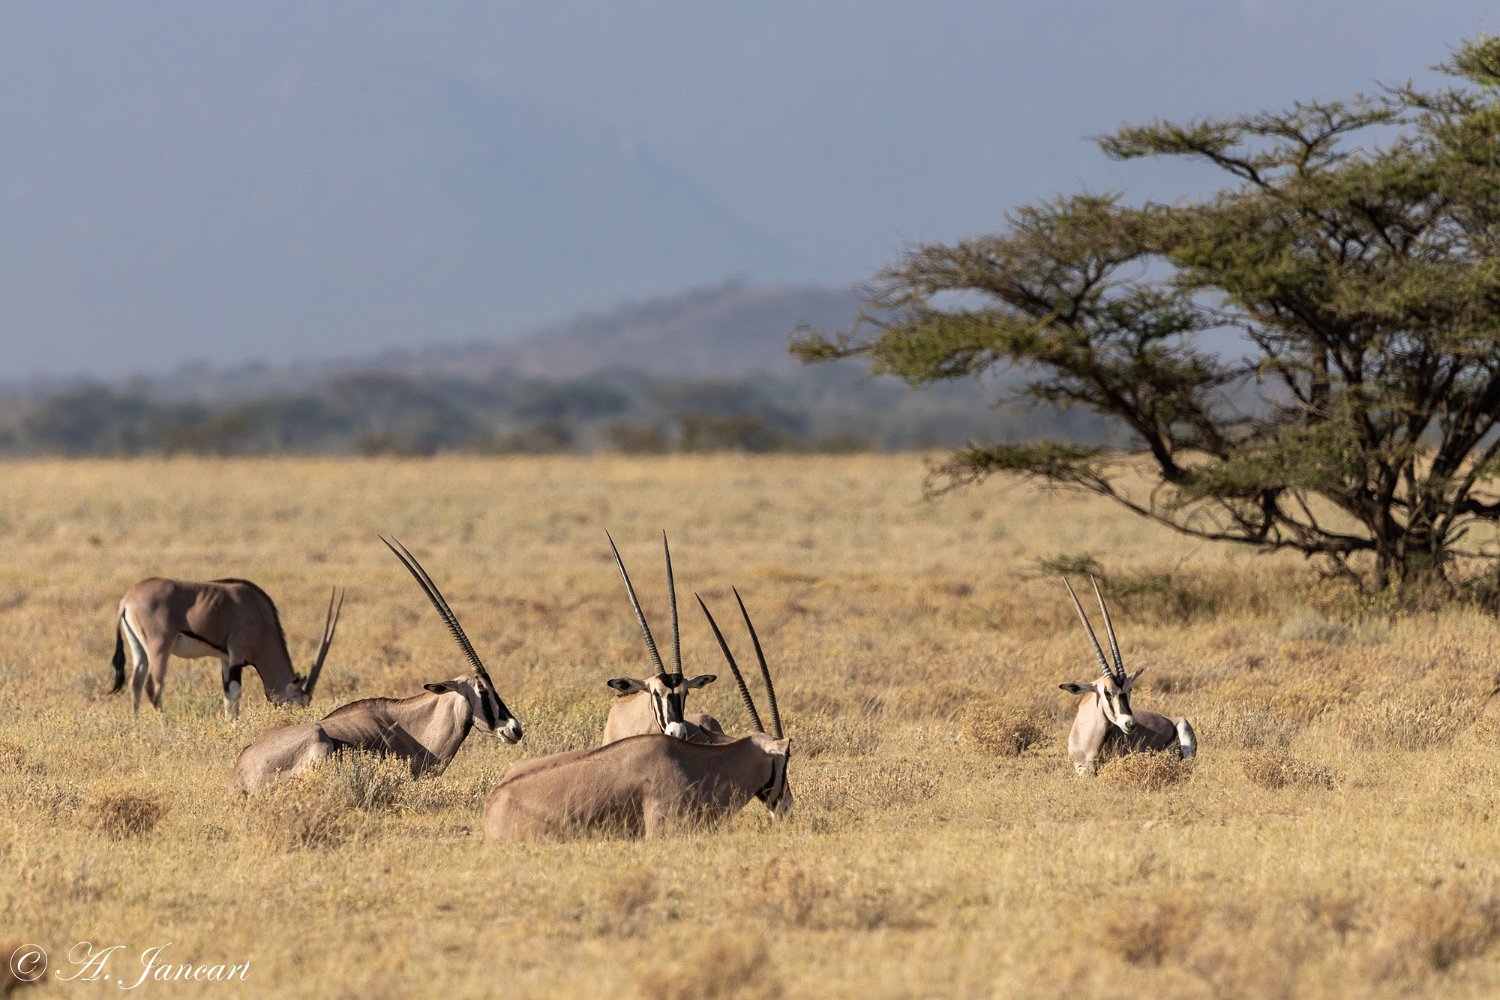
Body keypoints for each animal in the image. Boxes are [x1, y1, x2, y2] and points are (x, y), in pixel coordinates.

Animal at [109, 577, 342, 720]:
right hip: (159, 648)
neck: (259, 614)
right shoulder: (237, 655)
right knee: (153, 686)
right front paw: (234, 726)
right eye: (299, 702)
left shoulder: (225, 658)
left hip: (139, 649)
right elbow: (235, 693)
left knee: (136, 683)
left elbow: (227, 697)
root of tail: (127, 599)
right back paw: (163, 723)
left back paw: (136, 725)